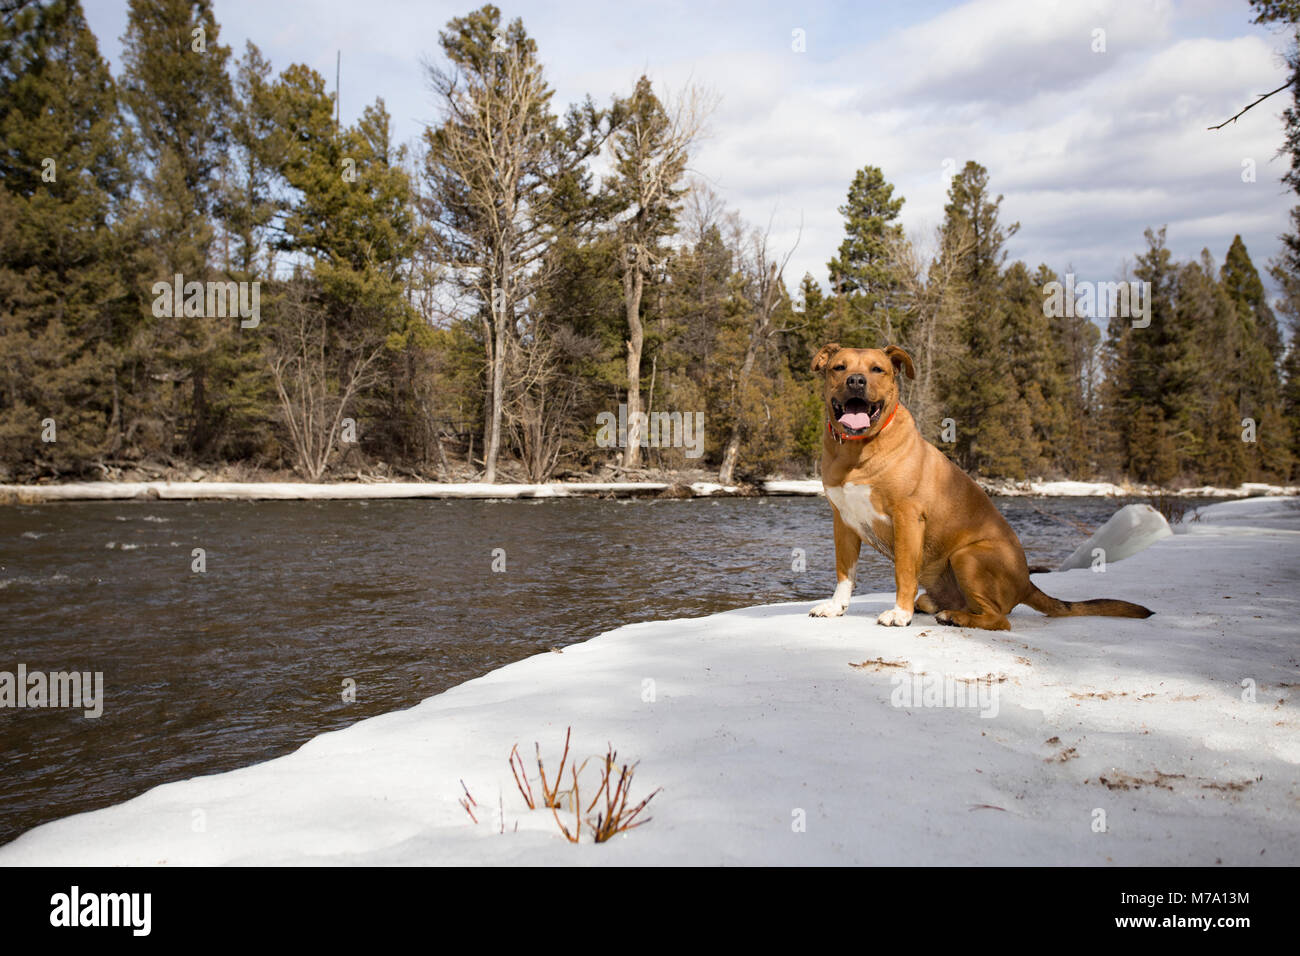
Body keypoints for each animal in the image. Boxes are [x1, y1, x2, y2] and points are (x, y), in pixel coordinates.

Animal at [806, 340, 1154, 632]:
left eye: (877, 369)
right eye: (840, 367)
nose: (856, 381)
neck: (857, 449)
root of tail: (1026, 582)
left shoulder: (907, 518)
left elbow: (903, 571)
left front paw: (899, 614)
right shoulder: (843, 522)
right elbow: (844, 571)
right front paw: (836, 607)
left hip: (967, 557)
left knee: (1000, 620)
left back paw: (954, 617)